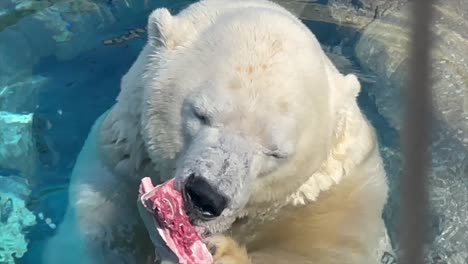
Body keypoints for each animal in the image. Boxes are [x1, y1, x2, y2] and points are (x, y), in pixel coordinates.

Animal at [44, 0, 390, 262]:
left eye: (276, 152)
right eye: (201, 114)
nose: (204, 197)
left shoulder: (335, 198)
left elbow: (328, 250)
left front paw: (223, 252)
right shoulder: (119, 163)